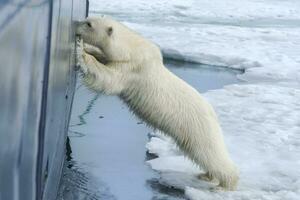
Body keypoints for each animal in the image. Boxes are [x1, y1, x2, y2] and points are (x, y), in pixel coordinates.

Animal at [75, 16, 239, 190]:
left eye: (89, 24)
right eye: (87, 19)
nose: (76, 26)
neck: (131, 49)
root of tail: (213, 114)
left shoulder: (132, 69)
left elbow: (108, 79)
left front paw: (81, 51)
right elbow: (104, 59)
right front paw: (89, 48)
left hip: (197, 127)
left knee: (209, 153)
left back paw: (225, 183)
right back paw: (206, 175)